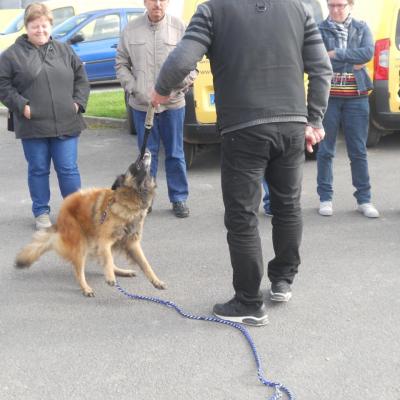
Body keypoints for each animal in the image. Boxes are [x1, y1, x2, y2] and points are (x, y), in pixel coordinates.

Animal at [15, 152, 166, 296]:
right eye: (135, 165)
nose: (144, 153)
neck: (129, 199)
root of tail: (61, 214)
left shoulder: (132, 243)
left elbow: (145, 264)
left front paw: (156, 281)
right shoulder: (104, 240)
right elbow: (108, 258)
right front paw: (109, 277)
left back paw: (120, 271)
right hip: (81, 243)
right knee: (79, 270)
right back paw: (86, 288)